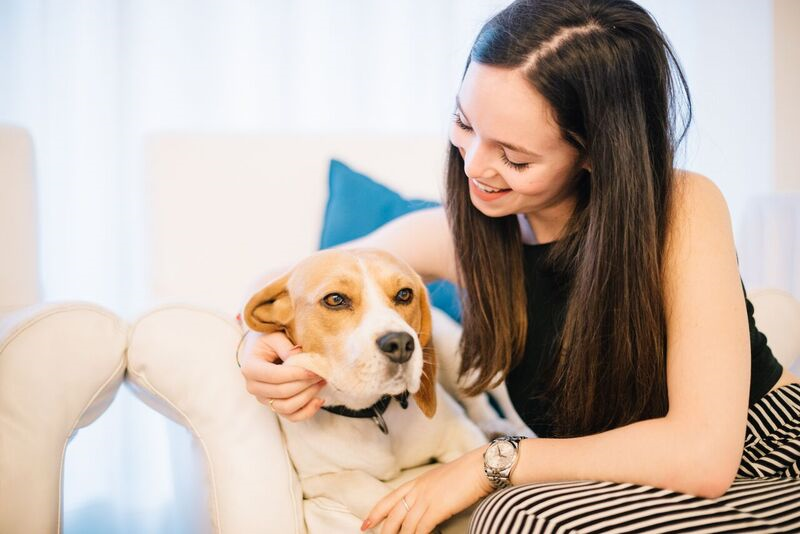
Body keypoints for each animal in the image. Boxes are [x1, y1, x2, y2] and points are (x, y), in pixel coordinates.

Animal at [244, 249, 532, 532]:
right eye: (335, 299)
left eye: (404, 294)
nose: (401, 343)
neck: (374, 413)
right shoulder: (317, 478)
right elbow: (363, 487)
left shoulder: (459, 432)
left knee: (484, 402)